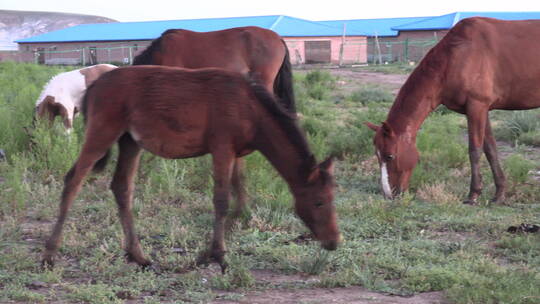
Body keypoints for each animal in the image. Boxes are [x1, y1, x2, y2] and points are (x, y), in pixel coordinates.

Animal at [42, 65, 340, 272]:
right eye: (319, 202)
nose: (334, 242)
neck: (251, 110)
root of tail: (93, 86)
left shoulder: (234, 153)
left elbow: (237, 194)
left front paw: (210, 250)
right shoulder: (221, 147)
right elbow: (221, 199)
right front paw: (218, 256)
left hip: (129, 141)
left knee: (121, 187)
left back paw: (138, 256)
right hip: (103, 132)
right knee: (74, 179)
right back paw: (49, 255)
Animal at [364, 17, 540, 205]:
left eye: (390, 156)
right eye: (377, 155)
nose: (389, 195)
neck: (458, 56)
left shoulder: (476, 107)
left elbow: (474, 150)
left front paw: (473, 195)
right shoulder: (483, 110)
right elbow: (491, 150)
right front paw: (499, 195)